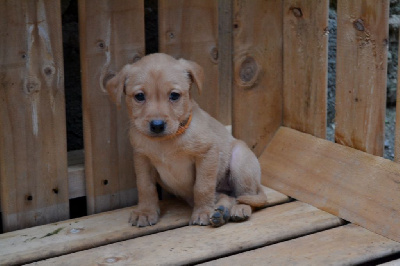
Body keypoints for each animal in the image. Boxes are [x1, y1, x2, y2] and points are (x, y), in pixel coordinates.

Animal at [108, 53, 268, 227]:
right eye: (139, 96)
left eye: (174, 95)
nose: (157, 125)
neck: (166, 142)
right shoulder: (142, 159)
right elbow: (145, 187)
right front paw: (145, 212)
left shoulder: (207, 153)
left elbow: (203, 186)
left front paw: (203, 212)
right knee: (227, 196)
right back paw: (221, 212)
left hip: (241, 161)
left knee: (246, 196)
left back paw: (238, 209)